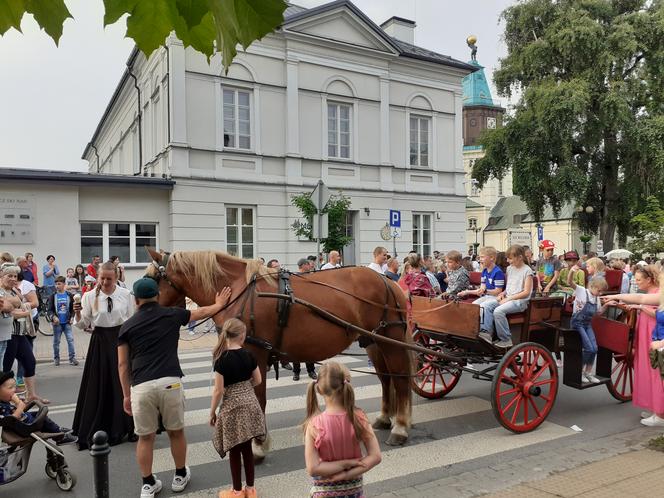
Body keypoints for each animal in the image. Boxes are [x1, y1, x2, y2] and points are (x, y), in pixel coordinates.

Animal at [148, 249, 412, 460]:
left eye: (152, 280)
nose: (143, 310)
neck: (238, 290)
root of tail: (387, 280)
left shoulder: (256, 353)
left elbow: (259, 398)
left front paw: (258, 446)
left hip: (391, 341)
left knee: (400, 379)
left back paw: (400, 427)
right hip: (373, 342)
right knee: (386, 378)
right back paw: (385, 418)